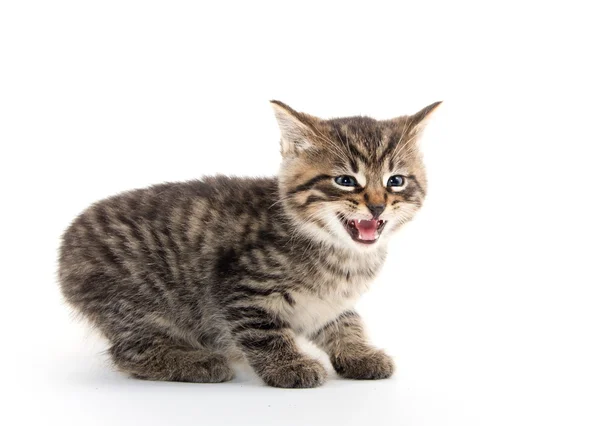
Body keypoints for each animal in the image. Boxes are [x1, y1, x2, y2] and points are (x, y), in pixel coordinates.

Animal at [57, 100, 440, 386]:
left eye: (395, 181)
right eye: (345, 181)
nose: (376, 206)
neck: (337, 252)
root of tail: (67, 244)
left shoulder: (329, 301)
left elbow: (345, 321)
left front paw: (357, 351)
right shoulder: (241, 288)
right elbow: (264, 333)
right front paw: (288, 366)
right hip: (137, 301)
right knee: (130, 352)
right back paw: (198, 362)